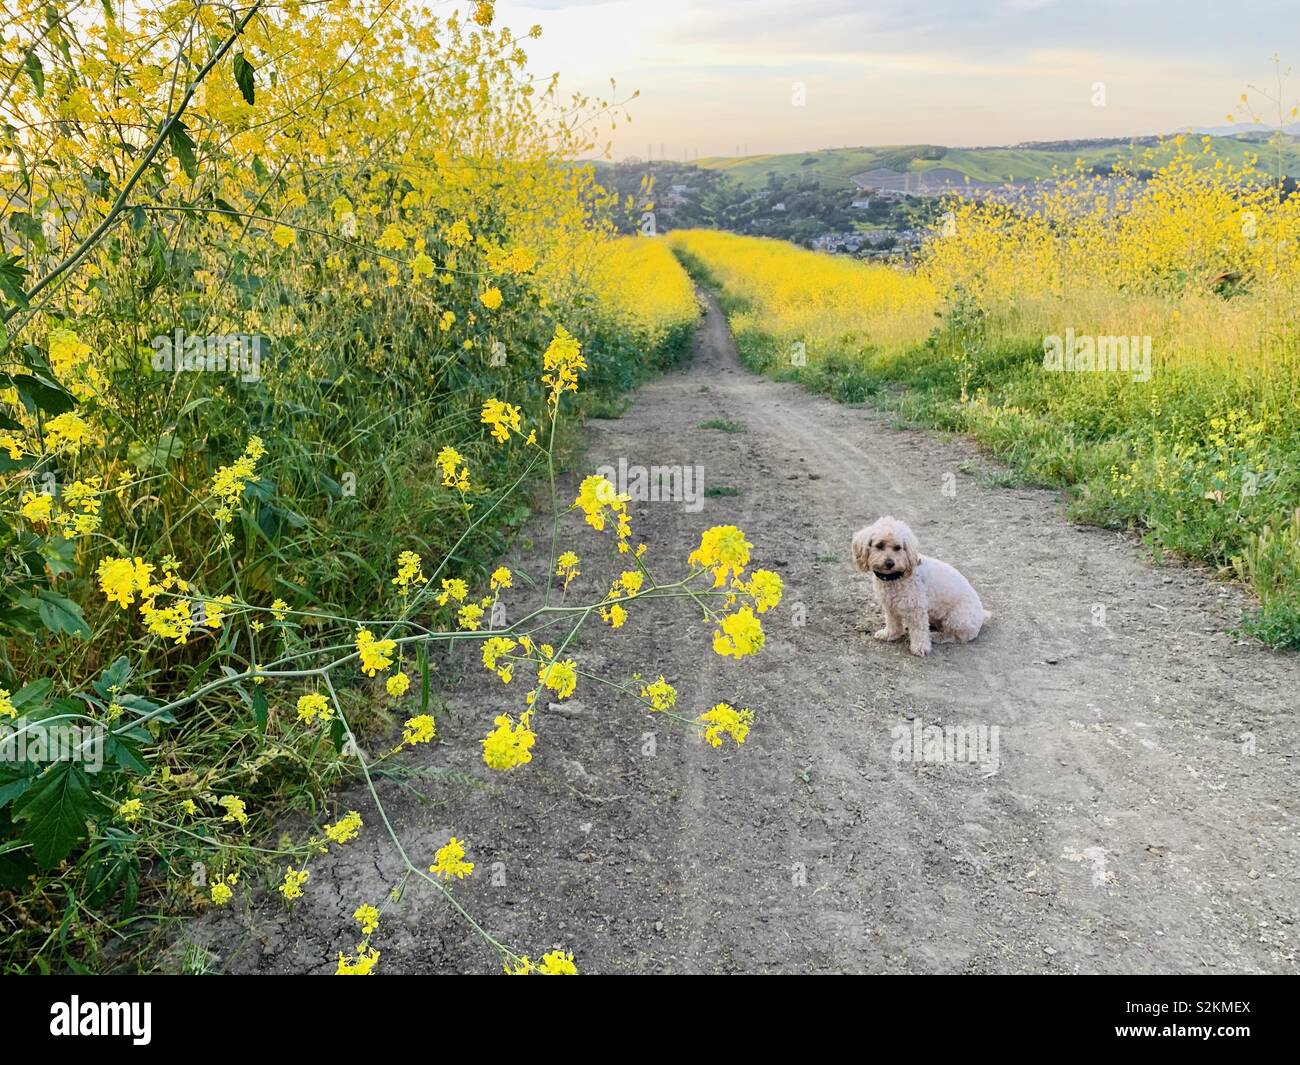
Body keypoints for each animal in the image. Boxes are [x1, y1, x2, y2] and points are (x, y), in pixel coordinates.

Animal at [847, 517, 987, 657]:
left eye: (898, 547)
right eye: (879, 545)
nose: (889, 563)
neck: (895, 577)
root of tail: (982, 615)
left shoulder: (916, 609)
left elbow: (919, 631)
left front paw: (920, 648)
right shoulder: (890, 606)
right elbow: (893, 623)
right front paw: (890, 634)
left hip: (956, 619)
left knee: (957, 636)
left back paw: (936, 636)